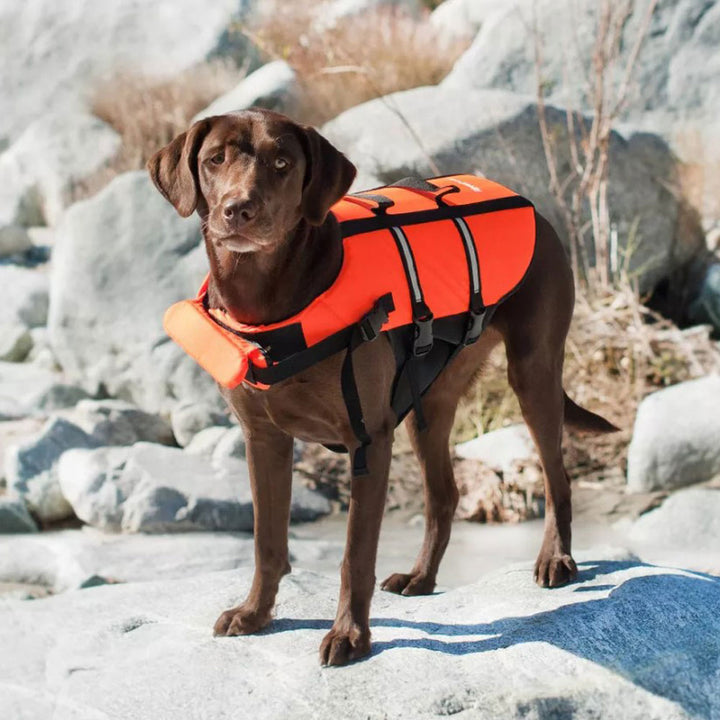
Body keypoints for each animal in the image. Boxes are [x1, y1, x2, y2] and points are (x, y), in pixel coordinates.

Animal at [148, 107, 620, 664]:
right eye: (214, 160)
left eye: (282, 163)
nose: (238, 209)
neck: (272, 299)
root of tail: (534, 209)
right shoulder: (263, 439)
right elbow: (267, 541)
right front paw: (256, 614)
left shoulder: (368, 440)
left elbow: (355, 555)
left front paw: (350, 635)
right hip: (428, 404)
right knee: (444, 494)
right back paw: (421, 576)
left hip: (533, 374)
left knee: (556, 476)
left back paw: (556, 559)